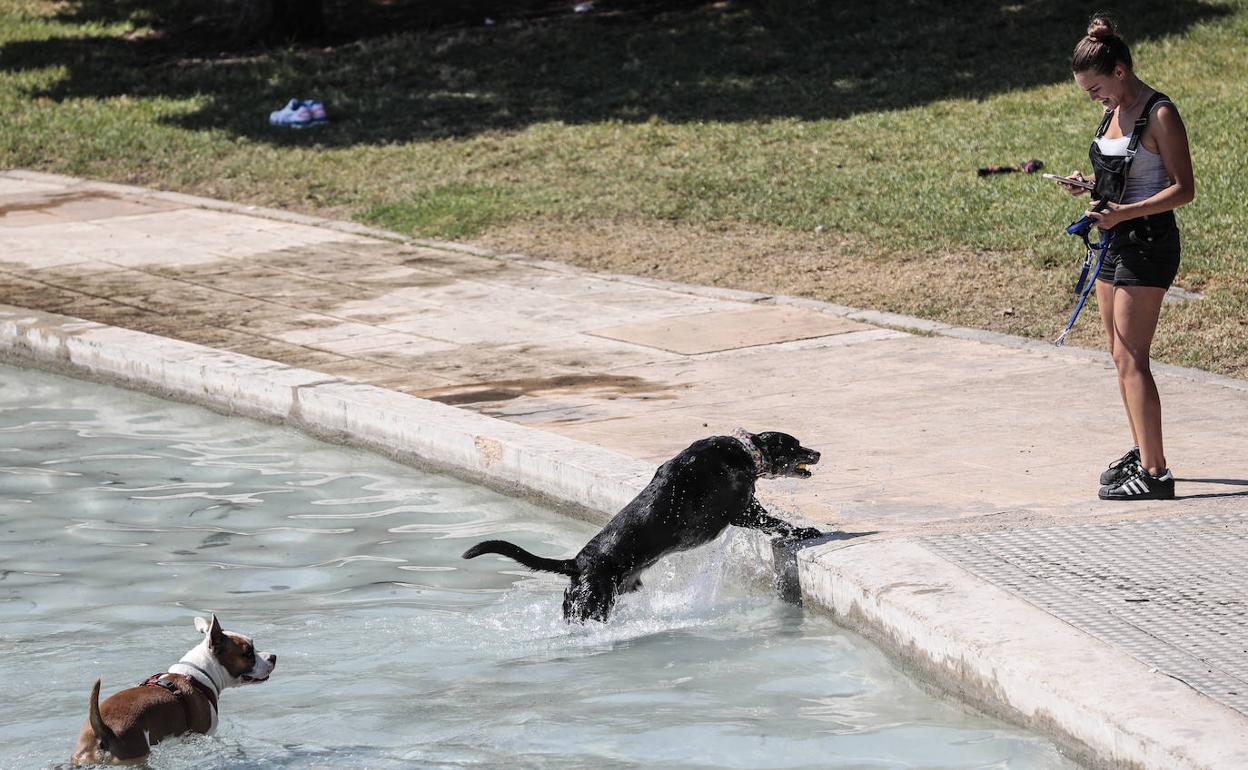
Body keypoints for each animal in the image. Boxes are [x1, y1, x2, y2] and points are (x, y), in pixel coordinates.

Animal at [464, 429, 823, 621]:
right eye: (794, 445)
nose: (817, 452)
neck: (746, 453)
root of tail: (576, 563)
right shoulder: (743, 511)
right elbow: (779, 523)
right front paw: (808, 532)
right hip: (593, 604)